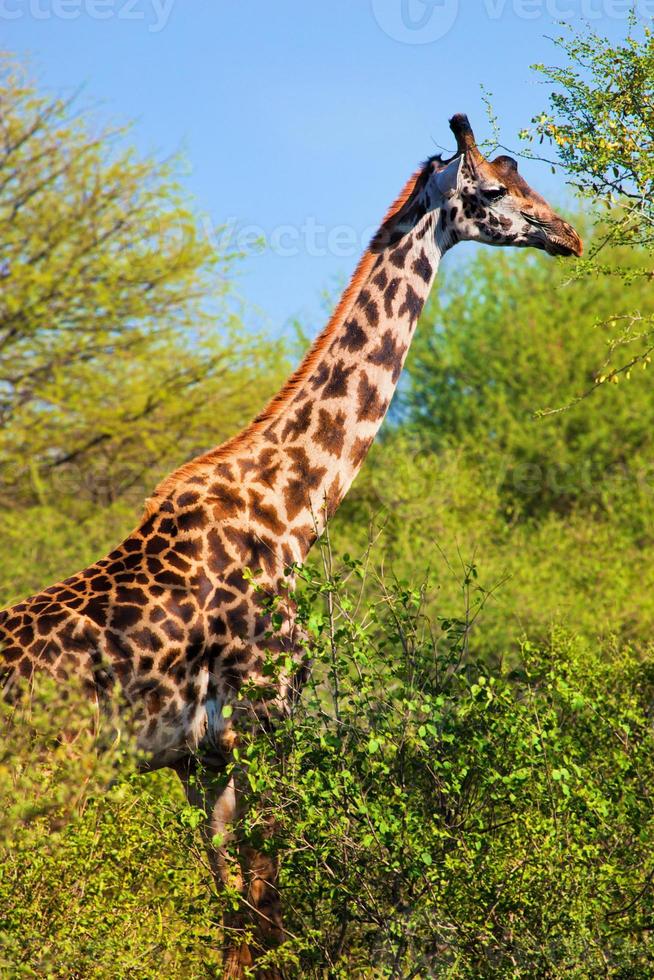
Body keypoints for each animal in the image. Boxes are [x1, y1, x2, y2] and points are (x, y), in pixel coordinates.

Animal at [0, 115, 584, 972]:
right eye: (492, 190)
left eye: (522, 177)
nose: (567, 234)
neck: (294, 510)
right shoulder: (268, 718)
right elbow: (267, 917)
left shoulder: (199, 755)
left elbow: (232, 920)